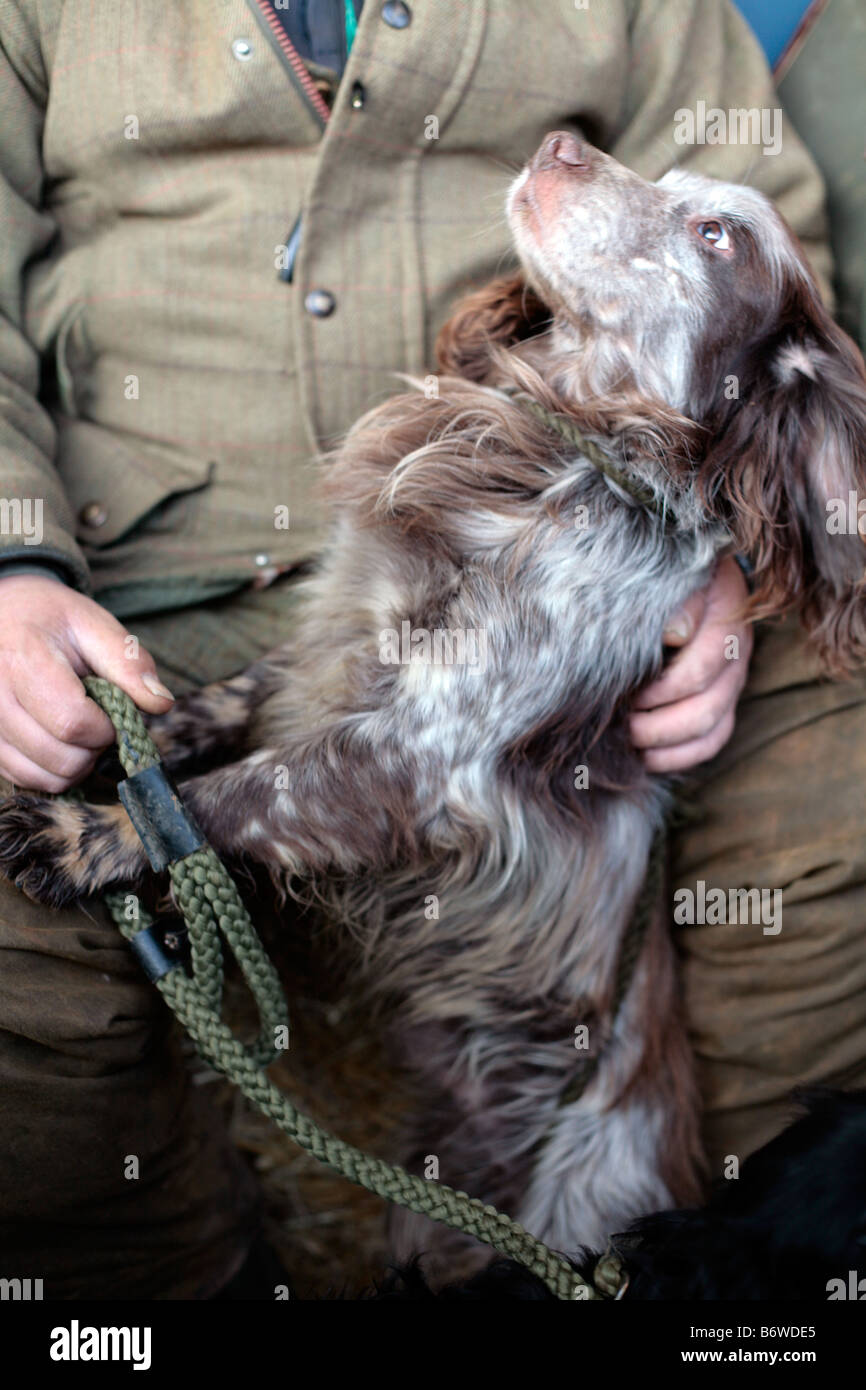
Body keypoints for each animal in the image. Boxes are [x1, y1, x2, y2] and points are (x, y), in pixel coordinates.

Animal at [1, 132, 866, 1273]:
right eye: (670, 184)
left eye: (714, 233)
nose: (561, 143)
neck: (551, 451)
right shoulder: (328, 643)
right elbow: (207, 712)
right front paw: (103, 726)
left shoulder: (417, 754)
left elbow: (231, 794)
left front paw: (85, 832)